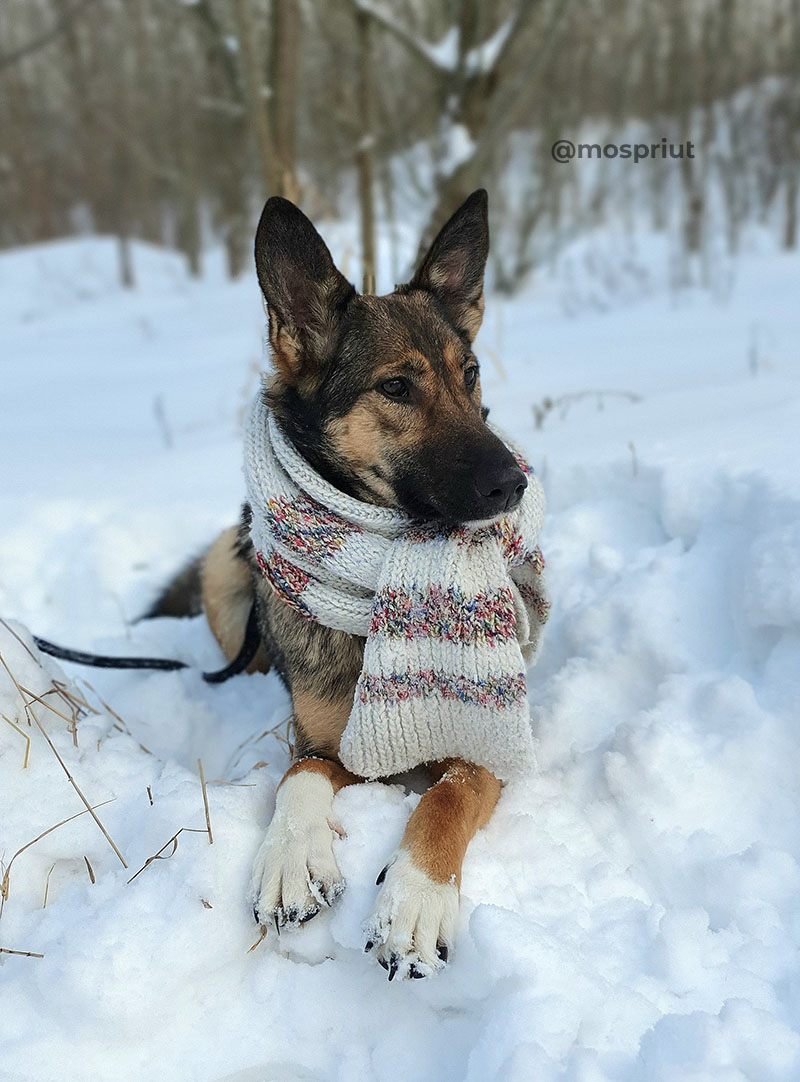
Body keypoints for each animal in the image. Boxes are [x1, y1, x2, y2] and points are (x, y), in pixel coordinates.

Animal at [151, 190, 532, 986]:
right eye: (396, 387)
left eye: (470, 373)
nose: (515, 483)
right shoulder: (323, 745)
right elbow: (297, 776)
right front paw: (291, 859)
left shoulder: (482, 742)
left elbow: (445, 798)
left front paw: (415, 899)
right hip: (222, 565)